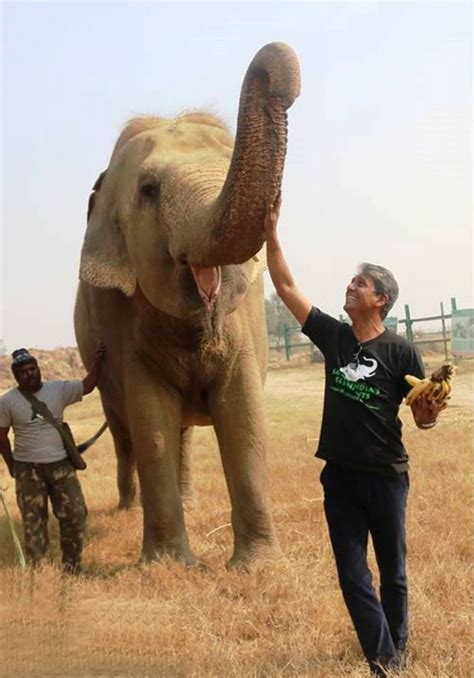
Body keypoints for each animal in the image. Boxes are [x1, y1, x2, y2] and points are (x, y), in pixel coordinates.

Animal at [74, 42, 300, 568]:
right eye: (149, 191)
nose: (281, 76)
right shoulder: (120, 324)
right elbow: (151, 418)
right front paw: (167, 566)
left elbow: (243, 413)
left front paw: (257, 568)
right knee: (126, 434)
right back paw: (128, 508)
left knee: (182, 435)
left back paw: (190, 502)